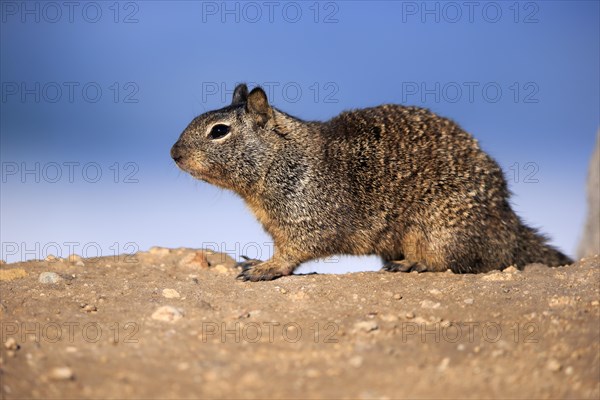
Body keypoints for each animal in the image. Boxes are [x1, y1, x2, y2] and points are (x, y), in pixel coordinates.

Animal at [171, 83, 576, 282]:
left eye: (219, 131)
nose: (173, 153)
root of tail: (509, 223)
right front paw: (254, 261)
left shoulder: (307, 218)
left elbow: (294, 253)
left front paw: (264, 269)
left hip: (440, 230)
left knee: (457, 262)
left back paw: (413, 265)